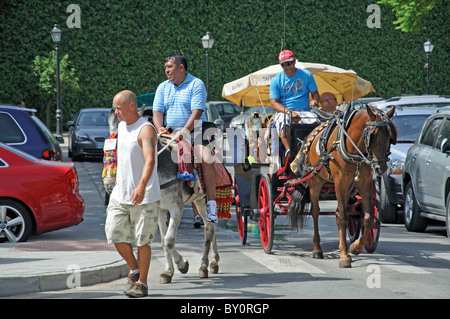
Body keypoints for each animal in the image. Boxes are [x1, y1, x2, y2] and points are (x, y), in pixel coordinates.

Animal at [288, 106, 398, 268]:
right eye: (372, 135)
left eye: (390, 137)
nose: (381, 168)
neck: (353, 148)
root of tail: (309, 139)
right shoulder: (340, 182)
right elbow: (344, 218)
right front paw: (344, 257)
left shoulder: (364, 183)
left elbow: (368, 217)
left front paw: (355, 247)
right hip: (315, 181)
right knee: (315, 212)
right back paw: (317, 249)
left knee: (339, 212)